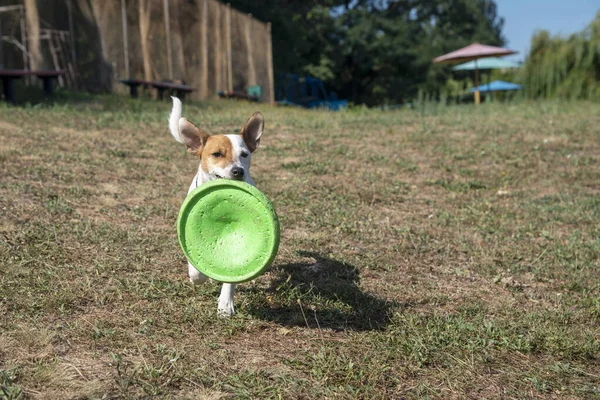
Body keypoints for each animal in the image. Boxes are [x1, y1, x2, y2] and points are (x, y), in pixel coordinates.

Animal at [168, 96, 264, 316]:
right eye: (217, 154)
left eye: (244, 154)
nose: (238, 171)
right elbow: (195, 268)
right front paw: (199, 276)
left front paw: (225, 304)